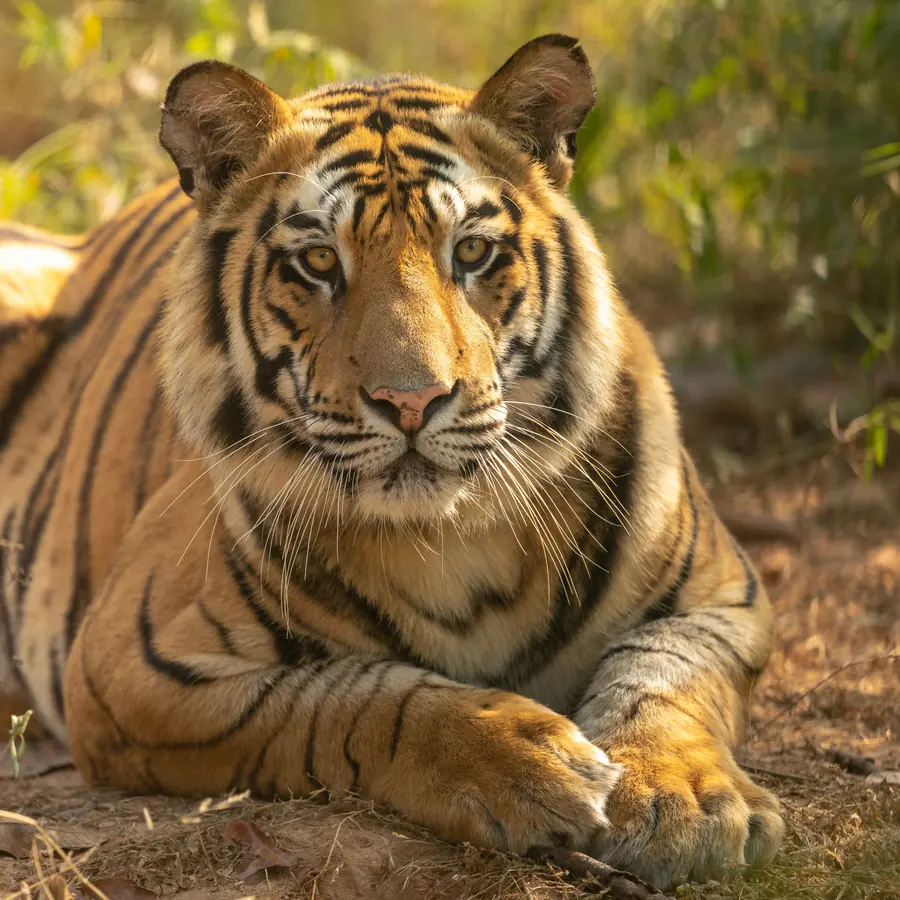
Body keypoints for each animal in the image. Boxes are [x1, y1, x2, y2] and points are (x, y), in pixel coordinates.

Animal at [0, 35, 784, 890]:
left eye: (471, 251)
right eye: (317, 262)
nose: (412, 401)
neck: (449, 537)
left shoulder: (722, 600)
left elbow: (663, 678)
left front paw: (685, 801)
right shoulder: (130, 673)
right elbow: (354, 697)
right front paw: (524, 760)